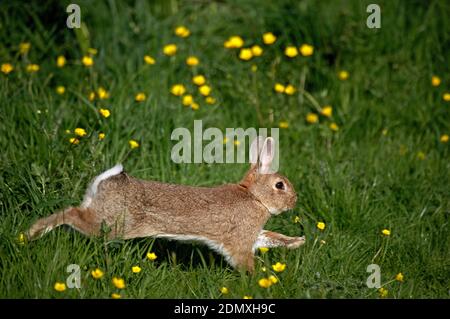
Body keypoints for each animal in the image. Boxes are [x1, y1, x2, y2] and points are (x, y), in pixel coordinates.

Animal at [27, 137, 306, 272]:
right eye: (280, 185)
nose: (295, 200)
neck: (254, 197)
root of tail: (105, 182)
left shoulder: (254, 235)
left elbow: (272, 237)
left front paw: (298, 242)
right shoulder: (239, 241)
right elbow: (243, 259)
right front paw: (256, 280)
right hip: (111, 226)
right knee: (70, 214)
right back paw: (30, 235)